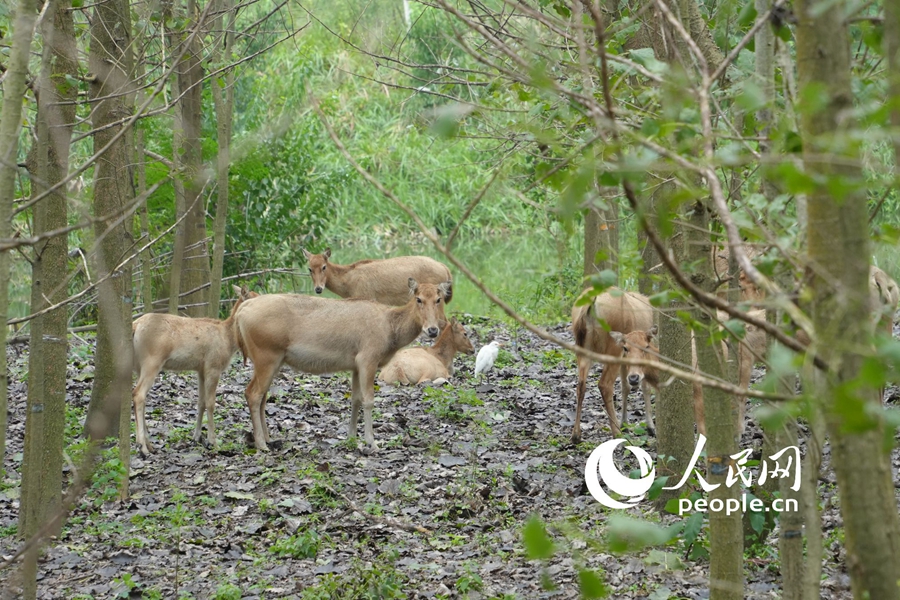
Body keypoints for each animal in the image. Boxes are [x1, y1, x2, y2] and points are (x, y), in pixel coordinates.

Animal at [130, 284, 258, 454]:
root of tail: (135, 326)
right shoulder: (213, 365)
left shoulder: (201, 369)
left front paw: (196, 437)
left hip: (139, 364)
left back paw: (149, 445)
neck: (229, 340)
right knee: (138, 394)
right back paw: (142, 447)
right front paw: (213, 442)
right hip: (152, 360)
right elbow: (211, 403)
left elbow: (201, 402)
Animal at [236, 276, 454, 450]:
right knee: (253, 393)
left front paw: (352, 437)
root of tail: (241, 312)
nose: (432, 330)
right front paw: (372, 442)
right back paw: (261, 444)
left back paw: (268, 438)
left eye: (438, 299)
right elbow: (368, 400)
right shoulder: (368, 357)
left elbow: (355, 398)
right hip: (266, 354)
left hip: (273, 359)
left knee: (262, 395)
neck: (390, 332)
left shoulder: (355, 364)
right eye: (418, 299)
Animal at [568, 290, 652, 440]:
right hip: (613, 347)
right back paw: (616, 432)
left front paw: (625, 423)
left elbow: (625, 387)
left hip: (582, 348)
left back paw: (576, 435)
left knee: (580, 385)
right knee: (605, 384)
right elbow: (645, 386)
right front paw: (651, 427)